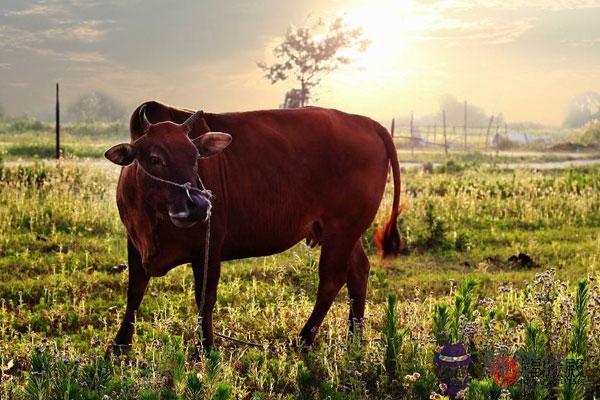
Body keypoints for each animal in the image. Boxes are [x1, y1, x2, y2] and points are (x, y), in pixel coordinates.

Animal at [105, 101, 400, 352]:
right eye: (154, 158)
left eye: (195, 157)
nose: (198, 205)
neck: (153, 219)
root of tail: (366, 122)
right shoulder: (134, 242)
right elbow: (134, 293)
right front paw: (119, 345)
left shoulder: (209, 247)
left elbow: (205, 299)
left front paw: (206, 348)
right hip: (345, 232)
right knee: (358, 271)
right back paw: (354, 338)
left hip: (342, 229)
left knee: (331, 279)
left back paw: (305, 338)